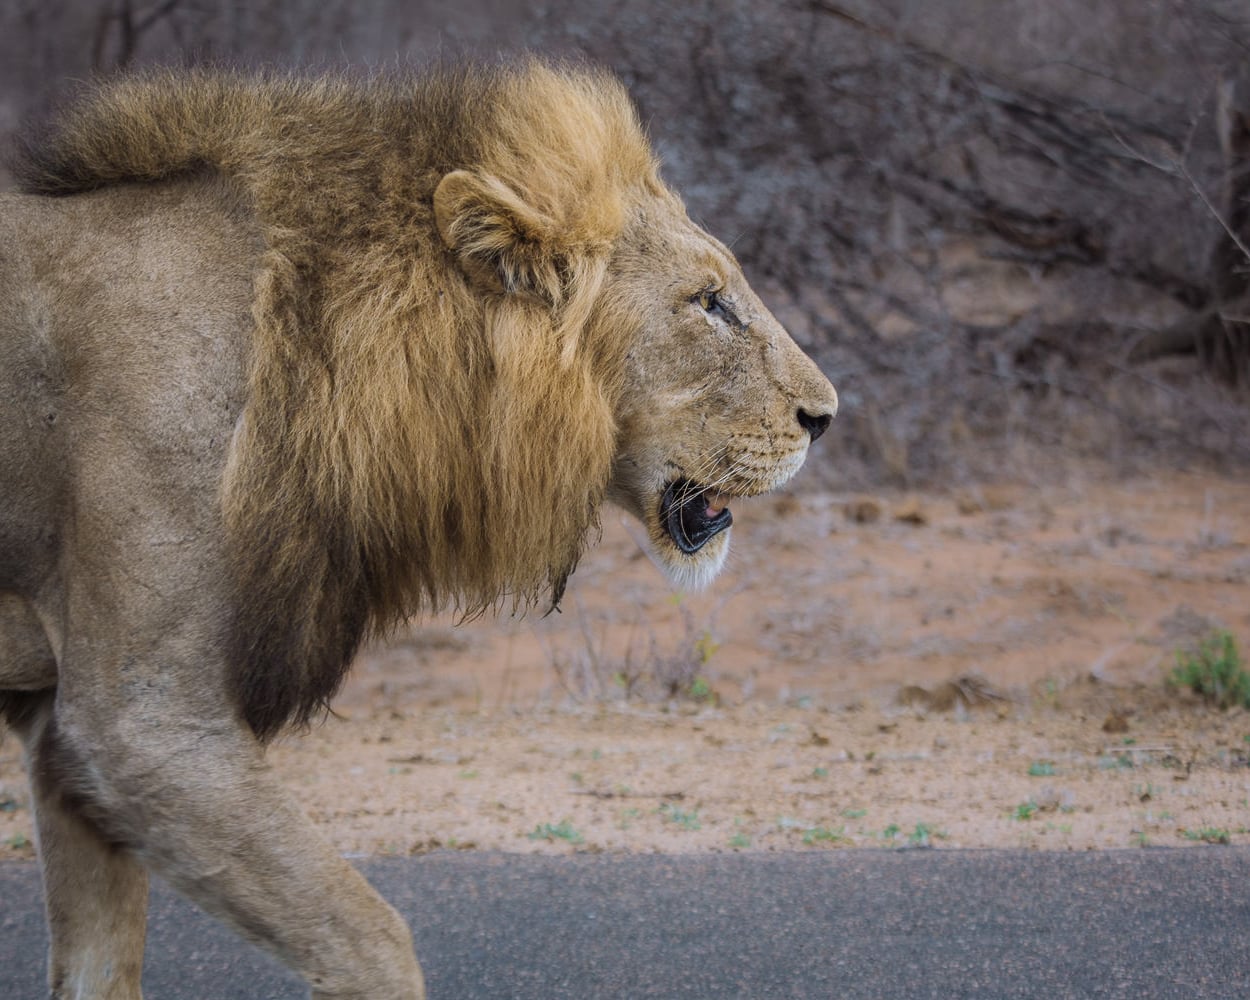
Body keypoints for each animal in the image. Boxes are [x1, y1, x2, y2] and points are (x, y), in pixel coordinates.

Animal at [0, 60, 837, 998]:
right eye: (708, 302)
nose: (826, 417)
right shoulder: (139, 720)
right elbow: (369, 939)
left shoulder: (61, 742)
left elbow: (100, 965)